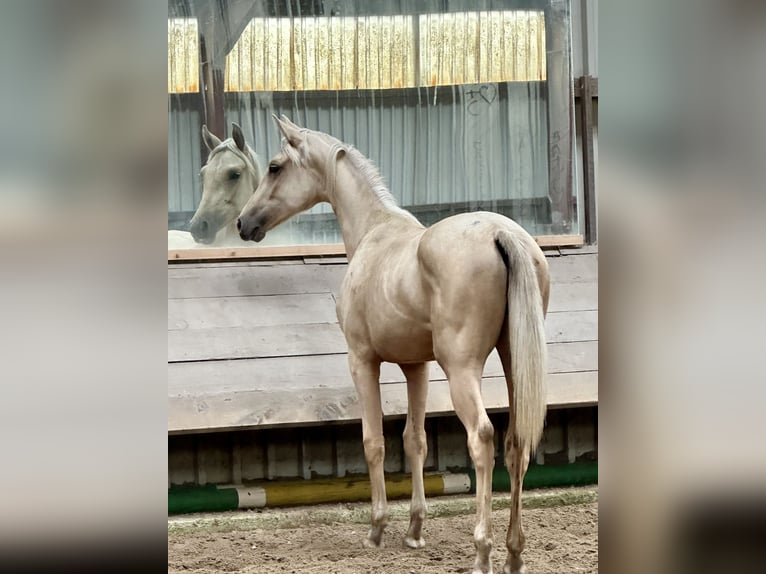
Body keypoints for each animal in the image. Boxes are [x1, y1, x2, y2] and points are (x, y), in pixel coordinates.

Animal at [237, 117, 548, 574]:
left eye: (275, 167)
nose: (244, 223)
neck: (375, 232)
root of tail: (501, 233)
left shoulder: (363, 361)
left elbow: (374, 441)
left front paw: (377, 529)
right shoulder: (416, 367)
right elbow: (414, 440)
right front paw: (415, 530)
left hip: (462, 369)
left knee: (482, 438)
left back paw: (482, 551)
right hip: (513, 364)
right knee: (516, 444)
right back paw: (514, 552)